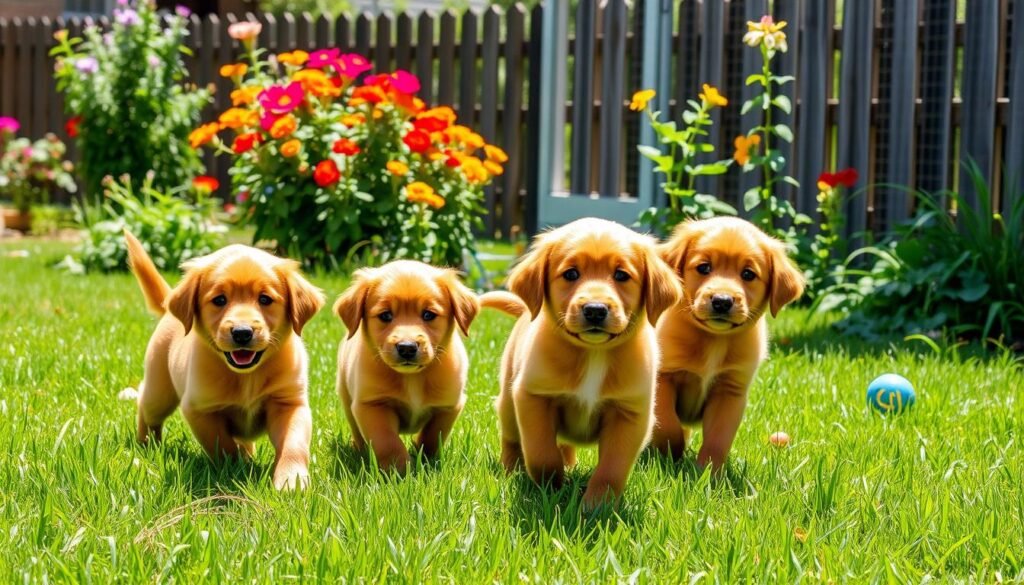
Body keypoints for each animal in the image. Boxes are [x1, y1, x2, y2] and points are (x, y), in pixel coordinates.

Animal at [124, 231, 323, 491]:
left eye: (265, 299)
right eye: (219, 300)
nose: (242, 332)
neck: (247, 376)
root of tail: (168, 310)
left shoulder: (289, 403)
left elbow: (293, 444)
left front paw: (292, 480)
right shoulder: (199, 409)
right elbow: (222, 445)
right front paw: (239, 467)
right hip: (160, 390)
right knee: (146, 407)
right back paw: (147, 444)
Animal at [333, 261, 481, 475]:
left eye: (428, 315)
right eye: (385, 315)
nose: (407, 347)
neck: (412, 378)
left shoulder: (449, 406)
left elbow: (433, 435)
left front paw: (424, 459)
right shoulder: (371, 405)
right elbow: (387, 441)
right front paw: (401, 471)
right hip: (346, 397)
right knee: (356, 429)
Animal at [479, 217, 679, 510]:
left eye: (621, 275)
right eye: (571, 274)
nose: (595, 310)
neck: (594, 353)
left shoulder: (631, 413)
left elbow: (612, 468)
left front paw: (598, 505)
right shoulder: (533, 397)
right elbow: (542, 454)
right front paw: (549, 490)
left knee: (564, 444)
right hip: (508, 400)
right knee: (512, 439)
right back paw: (511, 470)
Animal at [651, 218, 802, 471]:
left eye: (748, 274)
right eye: (704, 268)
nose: (722, 301)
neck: (714, 340)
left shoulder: (730, 391)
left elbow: (718, 438)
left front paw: (708, 472)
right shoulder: (664, 378)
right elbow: (667, 424)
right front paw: (672, 453)